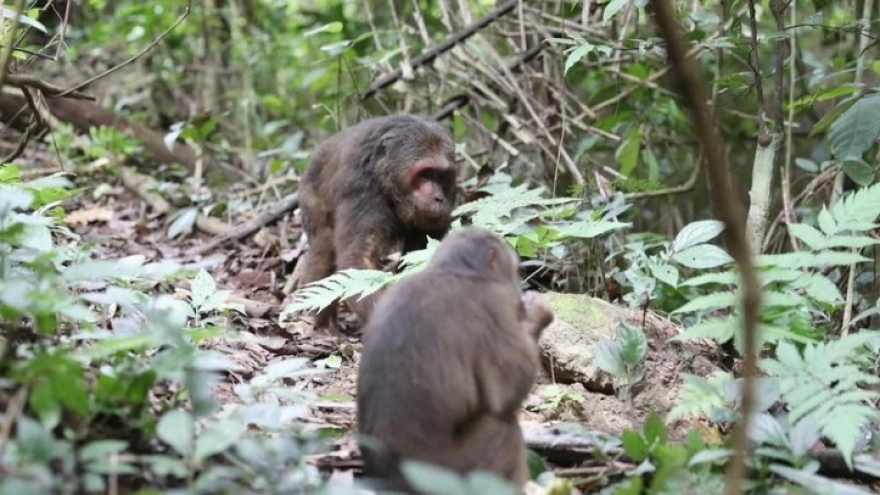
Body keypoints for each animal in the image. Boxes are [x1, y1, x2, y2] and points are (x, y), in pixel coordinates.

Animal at [298, 115, 460, 334]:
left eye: (441, 175)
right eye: (425, 175)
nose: (438, 198)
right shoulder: (363, 191)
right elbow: (357, 261)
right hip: (309, 194)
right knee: (323, 244)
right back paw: (322, 323)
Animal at [354, 227, 552, 494]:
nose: (519, 293)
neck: (455, 270)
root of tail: (397, 481)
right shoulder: (492, 304)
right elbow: (506, 394)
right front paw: (537, 311)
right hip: (457, 472)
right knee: (505, 428)